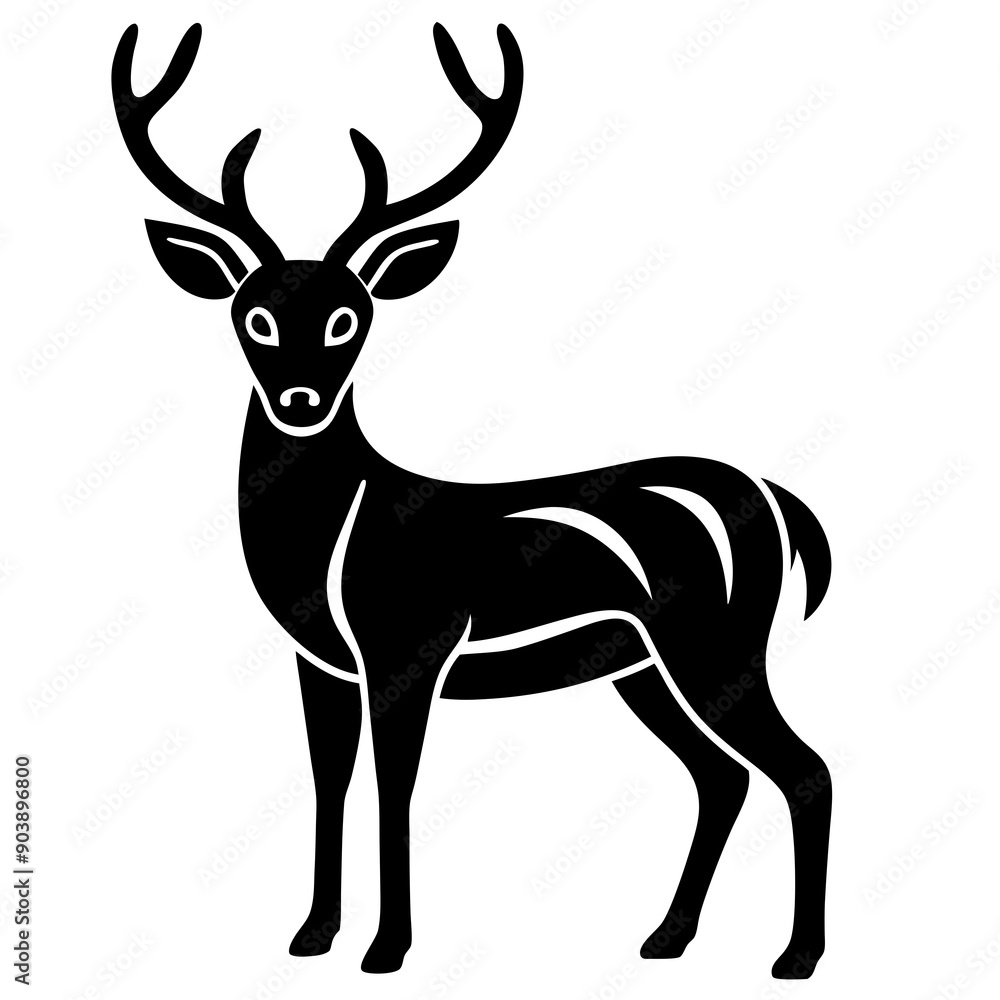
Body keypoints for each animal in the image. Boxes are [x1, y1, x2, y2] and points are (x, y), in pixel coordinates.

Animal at [112, 21, 833, 980]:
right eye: (253, 316)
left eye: (349, 317)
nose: (300, 400)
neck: (333, 540)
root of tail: (784, 505)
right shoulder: (319, 662)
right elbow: (328, 780)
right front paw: (311, 935)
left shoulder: (409, 645)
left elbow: (396, 786)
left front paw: (387, 950)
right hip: (644, 666)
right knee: (722, 776)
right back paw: (666, 938)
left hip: (716, 642)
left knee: (803, 768)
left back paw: (795, 957)